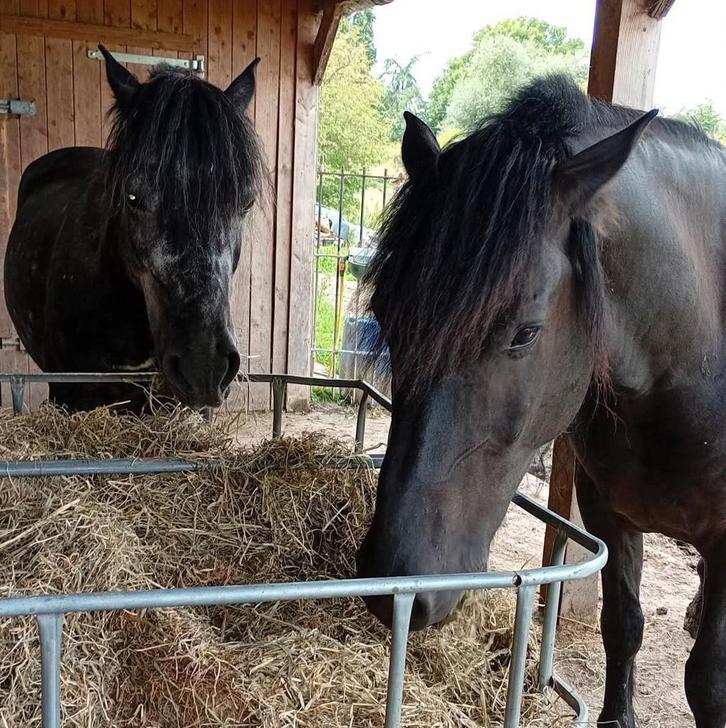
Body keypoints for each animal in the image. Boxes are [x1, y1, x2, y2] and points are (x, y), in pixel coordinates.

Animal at [356, 75, 726, 728]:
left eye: (525, 333)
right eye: (387, 316)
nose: (394, 585)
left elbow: (706, 681)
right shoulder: (609, 513)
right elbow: (622, 626)